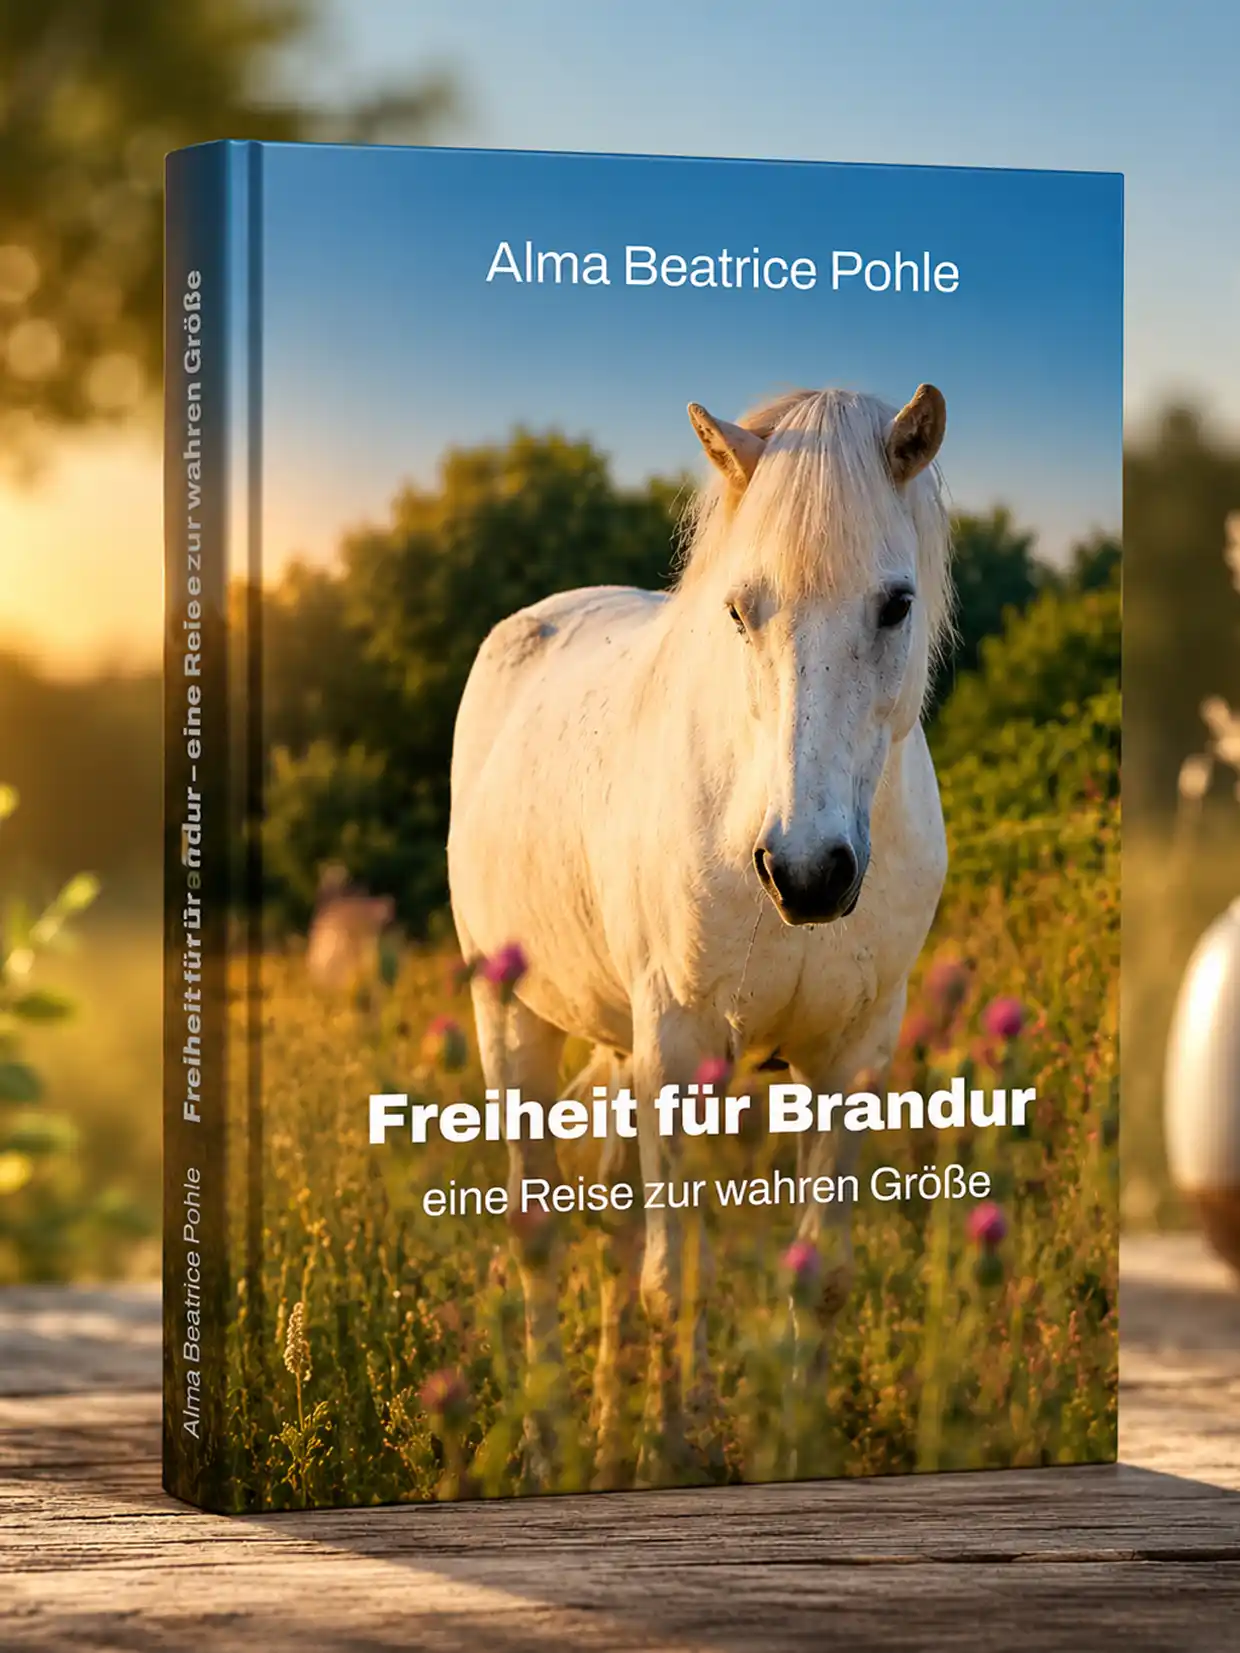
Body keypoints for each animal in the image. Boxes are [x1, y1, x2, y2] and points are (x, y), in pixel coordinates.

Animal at [447, 383, 952, 1485]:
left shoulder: (850, 1059)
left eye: (895, 603)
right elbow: (674, 1282)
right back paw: (552, 1453)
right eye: (738, 609)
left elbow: (814, 1280)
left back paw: (601, 1435)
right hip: (514, 1019)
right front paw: (668, 1465)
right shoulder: (675, 1046)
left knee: (616, 1221)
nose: (806, 873)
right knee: (543, 1234)